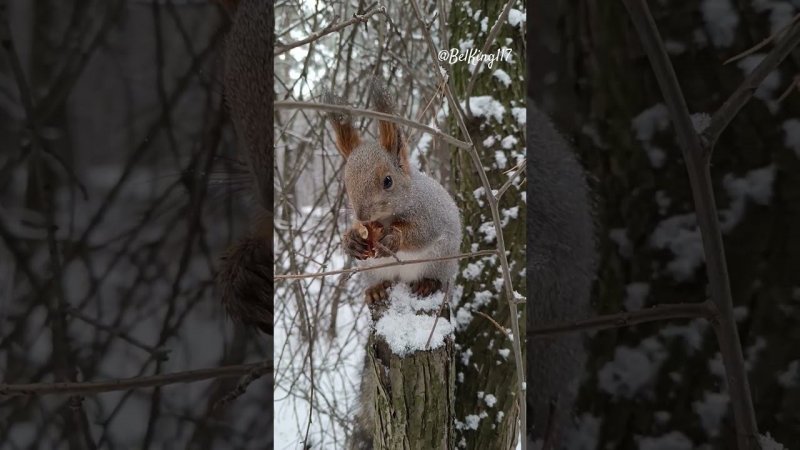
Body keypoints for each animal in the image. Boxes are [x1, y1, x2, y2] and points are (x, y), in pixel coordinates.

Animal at [324, 79, 462, 308]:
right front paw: (351, 240)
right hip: (372, 269)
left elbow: (421, 232)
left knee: (435, 277)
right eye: (346, 183)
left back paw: (427, 284)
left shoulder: (430, 213)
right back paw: (376, 290)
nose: (362, 216)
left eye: (388, 181)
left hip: (440, 261)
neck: (386, 218)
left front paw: (393, 238)